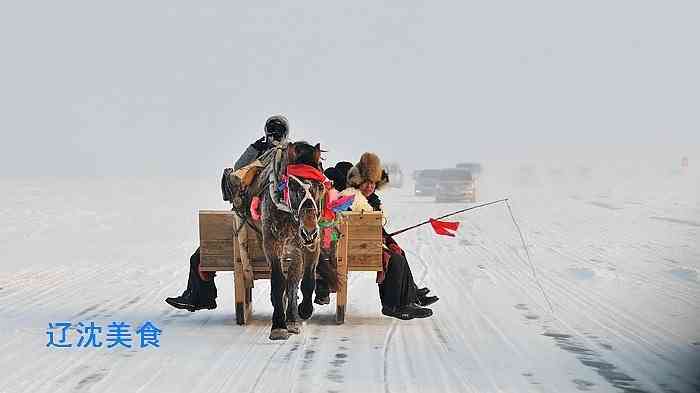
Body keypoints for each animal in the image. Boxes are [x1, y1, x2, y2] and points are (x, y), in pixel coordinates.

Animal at [258, 142, 328, 340]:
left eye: (320, 186)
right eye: (293, 186)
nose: (309, 231)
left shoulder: (311, 246)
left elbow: (307, 280)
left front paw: (304, 310)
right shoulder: (272, 244)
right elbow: (278, 283)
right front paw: (278, 325)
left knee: (293, 281)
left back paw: (292, 318)